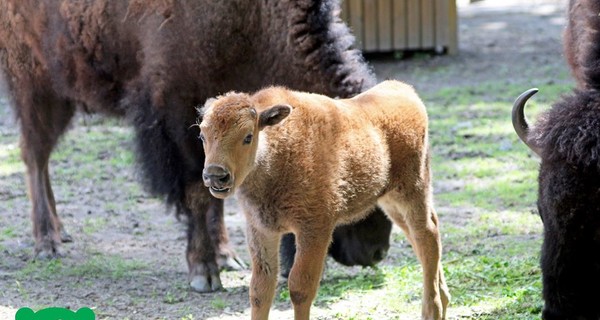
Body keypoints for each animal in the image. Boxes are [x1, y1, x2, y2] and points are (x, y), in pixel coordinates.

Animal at [0, 0, 392, 294]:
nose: (376, 250)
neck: (251, 22)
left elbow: (217, 192)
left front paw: (225, 257)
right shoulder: (178, 122)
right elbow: (198, 193)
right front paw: (204, 273)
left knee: (42, 157)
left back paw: (60, 232)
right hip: (35, 84)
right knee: (34, 155)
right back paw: (47, 242)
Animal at [199, 80, 448, 320]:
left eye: (248, 136)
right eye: (202, 135)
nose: (215, 174)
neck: (276, 149)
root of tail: (406, 91)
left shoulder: (314, 229)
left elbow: (300, 288)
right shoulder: (262, 229)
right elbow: (260, 290)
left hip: (413, 191)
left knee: (426, 235)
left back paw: (432, 310)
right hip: (391, 201)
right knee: (422, 234)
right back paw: (444, 300)